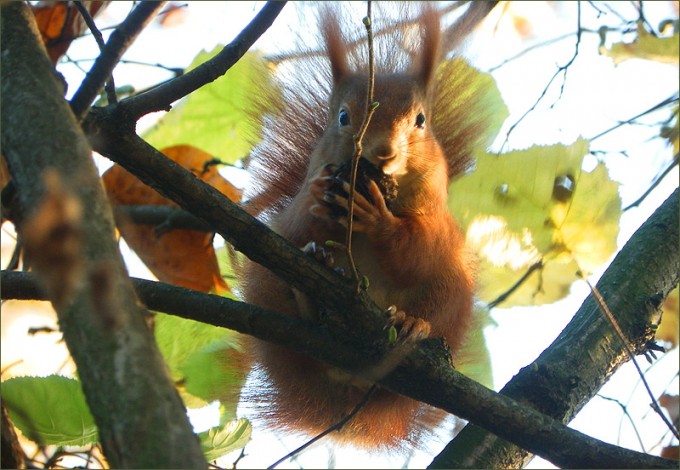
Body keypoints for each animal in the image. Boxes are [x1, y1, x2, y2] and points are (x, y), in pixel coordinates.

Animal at [238, 3, 495, 449]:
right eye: (343, 117)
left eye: (420, 121)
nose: (383, 152)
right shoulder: (293, 219)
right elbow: (299, 223)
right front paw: (319, 199)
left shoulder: (438, 224)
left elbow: (418, 251)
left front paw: (380, 222)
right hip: (269, 287)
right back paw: (316, 284)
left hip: (451, 292)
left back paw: (413, 324)